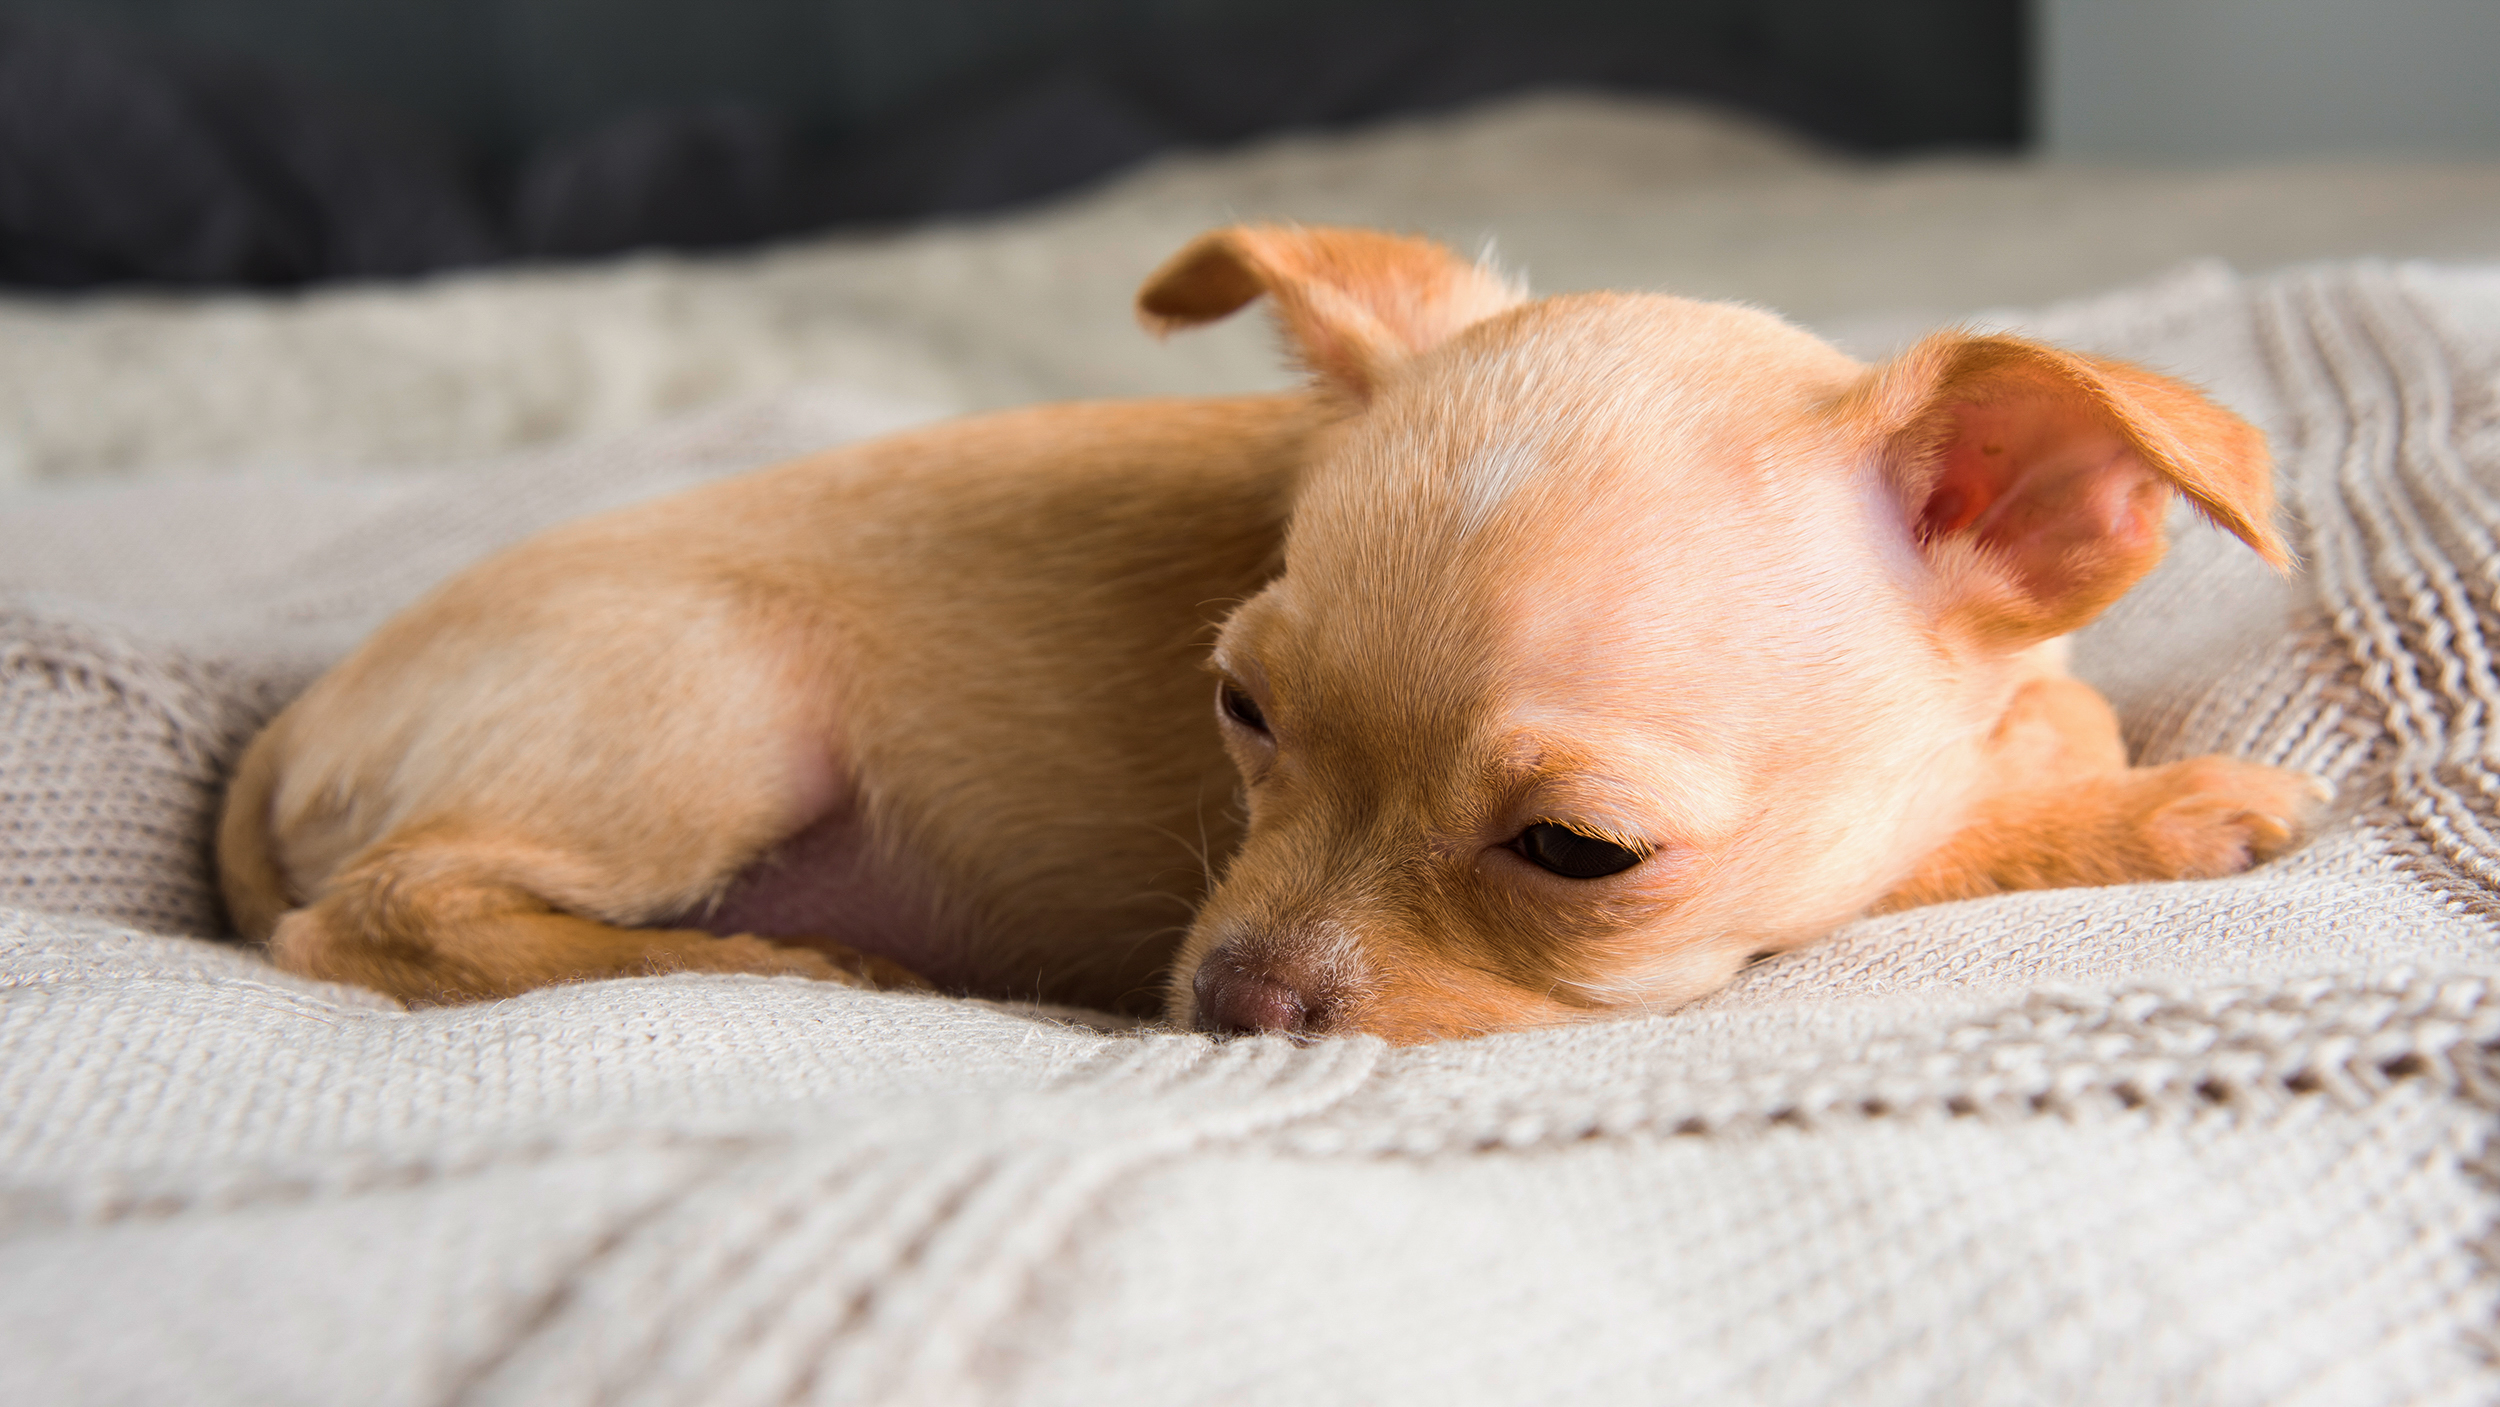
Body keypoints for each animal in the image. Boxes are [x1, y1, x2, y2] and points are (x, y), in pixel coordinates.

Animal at [220, 222, 2320, 1044]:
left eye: (1575, 852)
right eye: (1241, 712)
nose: (1228, 1005)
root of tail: (301, 726)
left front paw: (2062, 740)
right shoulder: (1846, 880)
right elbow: (1948, 841)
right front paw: (2158, 806)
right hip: (712, 713)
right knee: (382, 917)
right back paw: (784, 963)